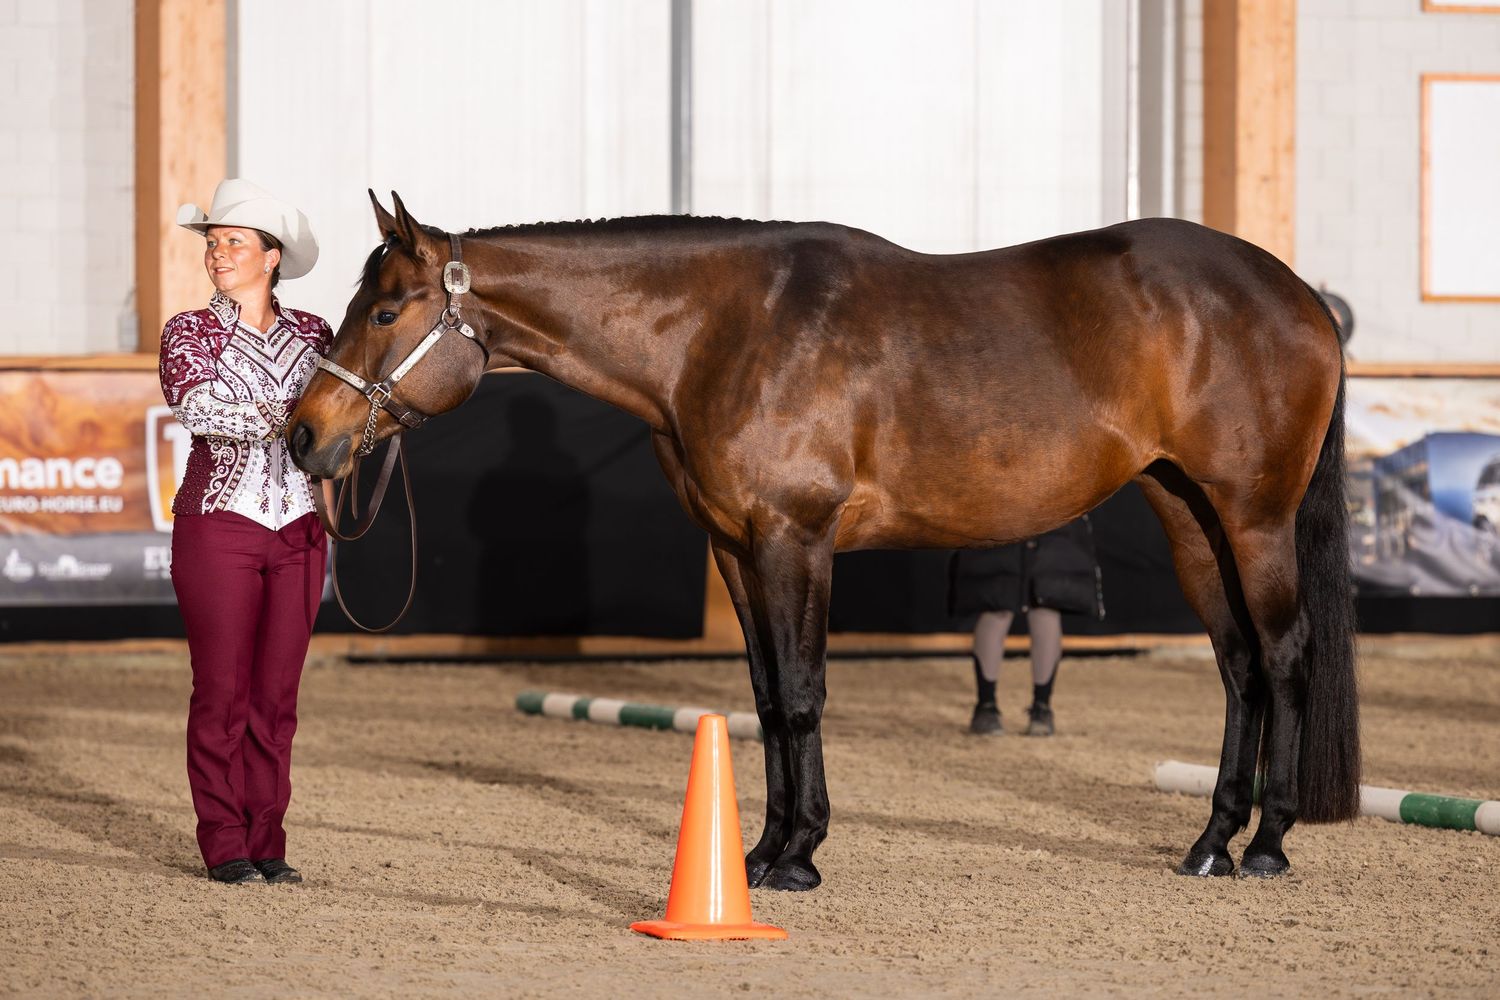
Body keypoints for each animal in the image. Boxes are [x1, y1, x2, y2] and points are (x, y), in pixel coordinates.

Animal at [288, 191, 1361, 891]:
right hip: (1189, 517)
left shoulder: (793, 539)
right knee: (1238, 668)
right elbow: (766, 700)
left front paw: (798, 858)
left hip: (1252, 517)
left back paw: (1267, 846)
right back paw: (1211, 843)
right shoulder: (737, 548)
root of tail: (1298, 294)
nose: (303, 434)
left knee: (1283, 656)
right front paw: (761, 852)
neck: (719, 334)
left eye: (384, 310)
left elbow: (802, 695)